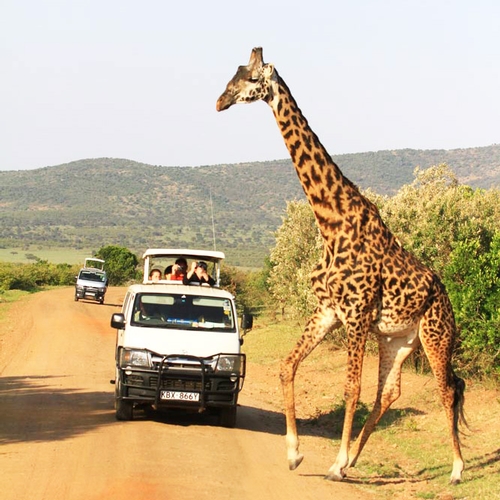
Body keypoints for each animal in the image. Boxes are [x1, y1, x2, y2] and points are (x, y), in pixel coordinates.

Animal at [217, 47, 466, 484]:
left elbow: (351, 388)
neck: (330, 223)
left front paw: (332, 463)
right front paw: (295, 454)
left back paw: (455, 470)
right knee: (390, 391)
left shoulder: (356, 313)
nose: (219, 101)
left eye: (251, 79)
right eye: (234, 73)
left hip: (436, 334)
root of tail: (445, 294)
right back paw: (354, 461)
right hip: (398, 339)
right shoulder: (329, 309)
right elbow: (287, 366)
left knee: (447, 389)